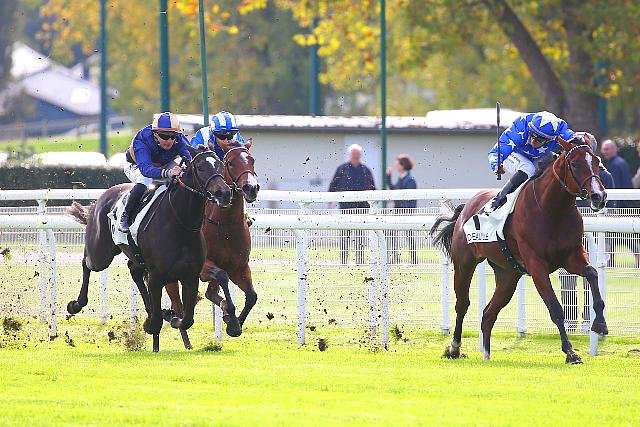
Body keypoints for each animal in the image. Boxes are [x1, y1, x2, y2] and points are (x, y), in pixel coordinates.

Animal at [66, 147, 232, 352]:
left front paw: (171, 317)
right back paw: (76, 304)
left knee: (134, 270)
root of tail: (102, 197)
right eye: (200, 167)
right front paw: (154, 322)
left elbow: (187, 319)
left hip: (135, 258)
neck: (180, 224)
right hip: (100, 254)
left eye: (221, 165)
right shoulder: (156, 276)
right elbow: (158, 320)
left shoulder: (191, 276)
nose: (224, 193)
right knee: (86, 263)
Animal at [165, 139, 260, 340]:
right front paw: (230, 317)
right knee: (177, 304)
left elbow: (251, 296)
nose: (251, 188)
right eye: (229, 163)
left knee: (209, 293)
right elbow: (220, 279)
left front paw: (234, 323)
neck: (225, 224)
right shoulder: (203, 267)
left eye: (252, 160)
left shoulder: (239, 267)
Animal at [430, 136, 608, 364]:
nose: (598, 196)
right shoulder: (536, 265)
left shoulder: (572, 255)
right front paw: (570, 352)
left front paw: (600, 324)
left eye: (597, 162)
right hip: (464, 264)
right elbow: (555, 308)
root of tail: (465, 208)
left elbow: (592, 273)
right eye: (575, 164)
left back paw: (486, 353)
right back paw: (454, 348)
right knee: (462, 304)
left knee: (488, 313)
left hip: (508, 275)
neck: (552, 210)